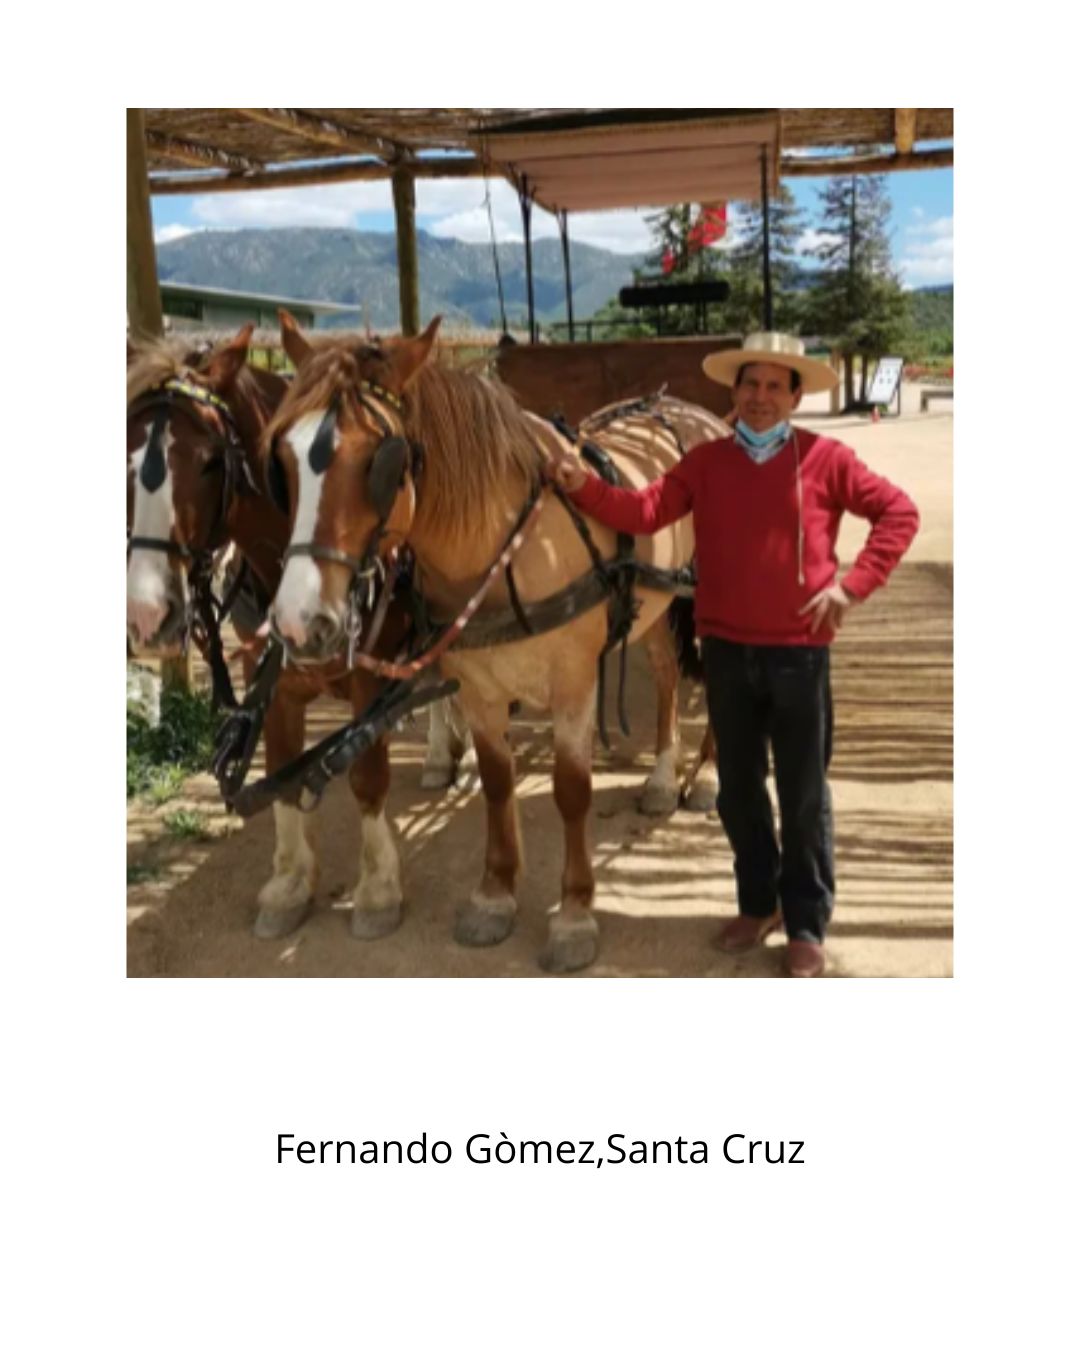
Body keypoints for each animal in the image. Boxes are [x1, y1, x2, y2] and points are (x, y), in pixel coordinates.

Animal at [126, 324, 457, 940]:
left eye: (210, 461)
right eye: (123, 462)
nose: (147, 615)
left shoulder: (368, 682)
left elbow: (366, 776)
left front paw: (377, 889)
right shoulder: (274, 684)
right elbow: (279, 770)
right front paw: (289, 882)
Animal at [265, 312, 729, 972]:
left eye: (381, 461)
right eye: (281, 459)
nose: (300, 622)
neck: (507, 540)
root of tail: (687, 409)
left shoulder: (574, 682)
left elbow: (571, 791)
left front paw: (574, 913)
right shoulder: (479, 687)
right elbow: (497, 781)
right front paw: (495, 893)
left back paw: (706, 777)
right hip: (656, 604)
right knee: (666, 673)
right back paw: (665, 777)